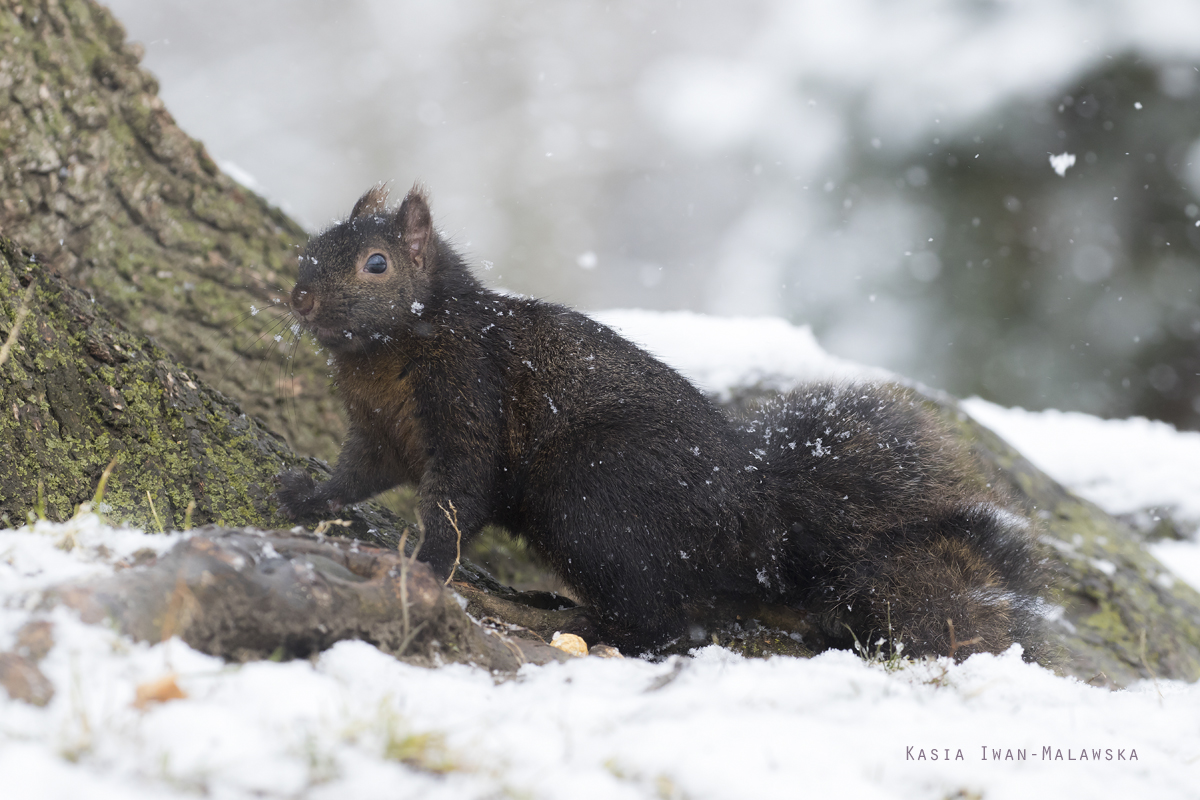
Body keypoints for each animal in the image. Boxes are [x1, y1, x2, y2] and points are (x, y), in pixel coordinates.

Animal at [276, 185, 1046, 662]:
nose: (300, 297)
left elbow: (459, 495)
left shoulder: (469, 394)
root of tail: (757, 529)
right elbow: (358, 473)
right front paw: (306, 495)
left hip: (596, 495)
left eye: (376, 263)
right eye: (316, 242)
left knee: (655, 622)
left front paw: (430, 564)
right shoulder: (377, 429)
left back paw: (562, 619)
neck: (389, 351)